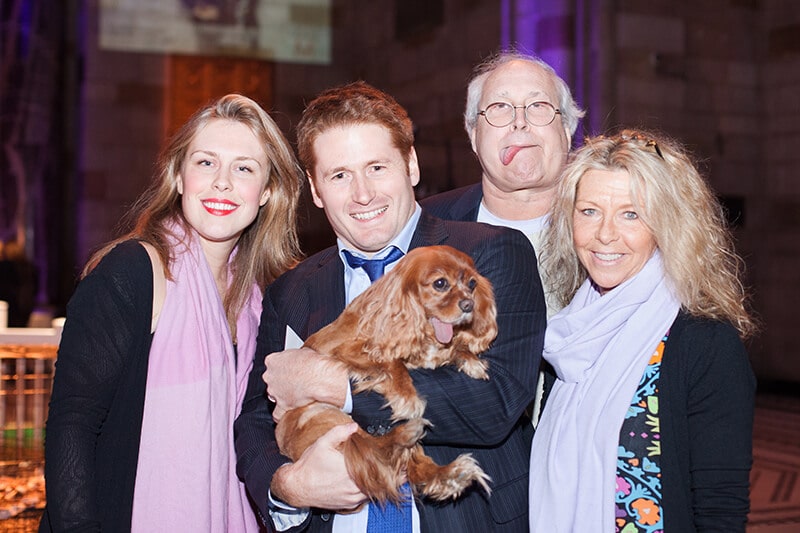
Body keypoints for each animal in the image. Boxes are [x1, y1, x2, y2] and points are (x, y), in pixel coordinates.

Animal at [278, 244, 496, 502]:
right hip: (324, 415)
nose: (468, 305)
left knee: (414, 466)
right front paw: (407, 397)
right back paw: (407, 433)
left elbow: (441, 352)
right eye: (440, 283)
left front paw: (468, 358)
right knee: (375, 446)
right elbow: (392, 362)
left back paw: (451, 475)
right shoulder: (343, 351)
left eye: (472, 283)